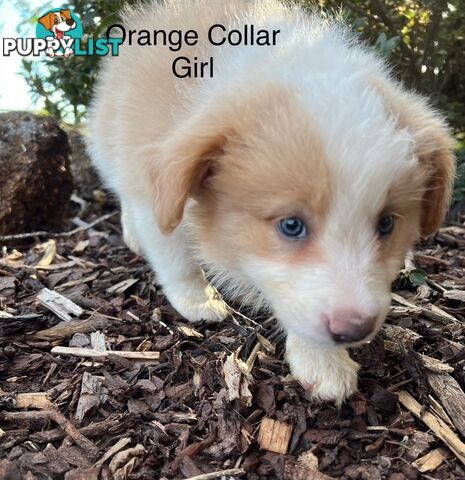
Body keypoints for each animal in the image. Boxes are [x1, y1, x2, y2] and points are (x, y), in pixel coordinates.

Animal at [87, 0, 454, 404]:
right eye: (291, 225)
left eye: (387, 223)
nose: (355, 329)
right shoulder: (153, 191)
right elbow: (176, 258)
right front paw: (198, 301)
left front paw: (322, 360)